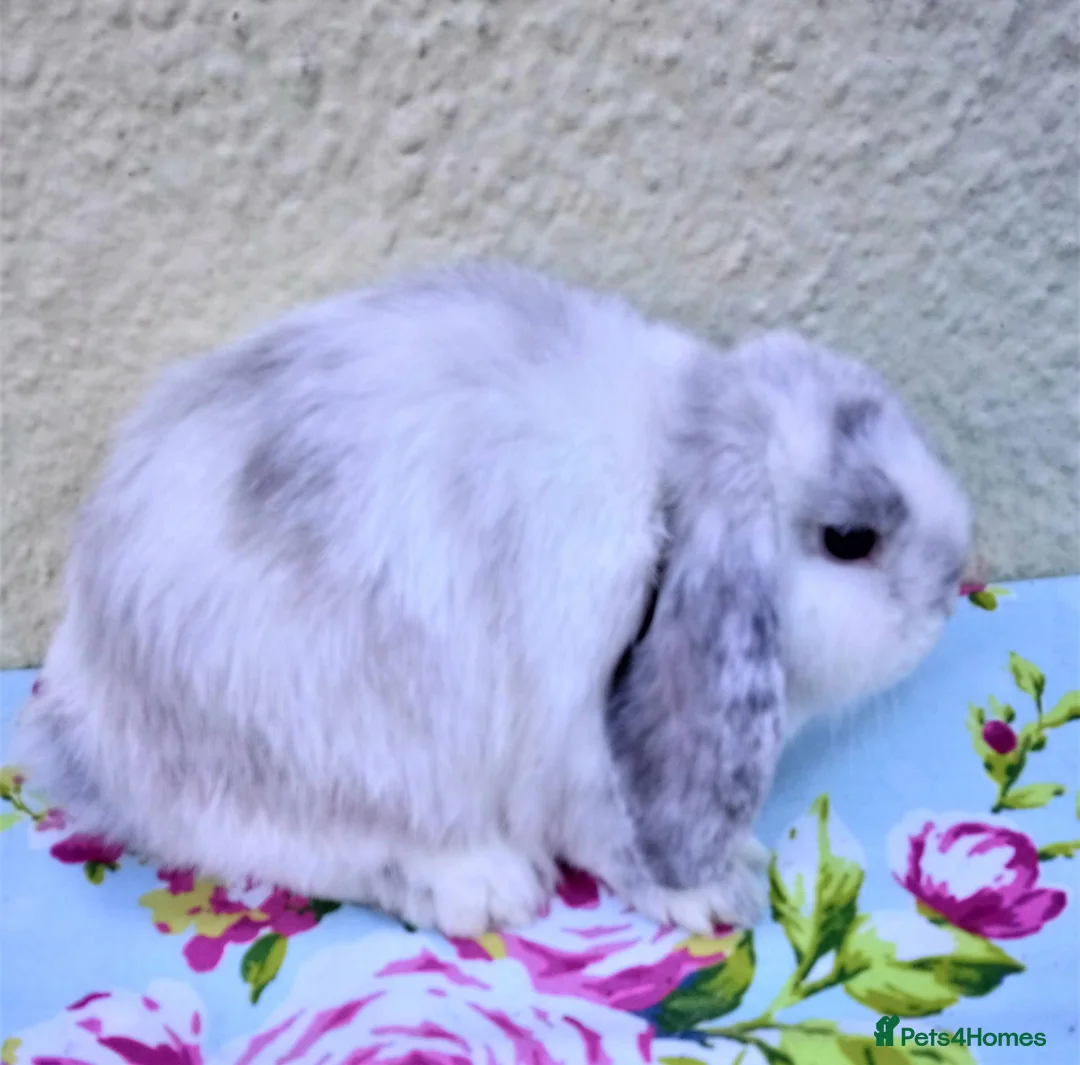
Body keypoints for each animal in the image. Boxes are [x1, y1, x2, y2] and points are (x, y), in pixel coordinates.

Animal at [16, 261, 971, 936]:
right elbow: (613, 831)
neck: (672, 475)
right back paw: (487, 886)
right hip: (332, 752)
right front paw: (721, 889)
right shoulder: (575, 741)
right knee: (317, 847)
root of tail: (84, 706)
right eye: (848, 538)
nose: (954, 579)